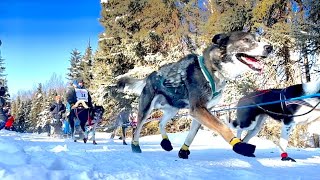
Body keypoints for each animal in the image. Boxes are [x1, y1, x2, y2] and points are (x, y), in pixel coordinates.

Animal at [116, 31, 274, 159]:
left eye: (259, 39)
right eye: (246, 40)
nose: (270, 47)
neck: (212, 70)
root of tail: (150, 76)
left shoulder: (202, 110)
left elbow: (192, 134)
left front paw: (183, 151)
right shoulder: (198, 108)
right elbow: (222, 127)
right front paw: (239, 145)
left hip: (173, 109)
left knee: (161, 122)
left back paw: (166, 142)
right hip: (146, 109)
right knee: (138, 127)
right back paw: (135, 146)